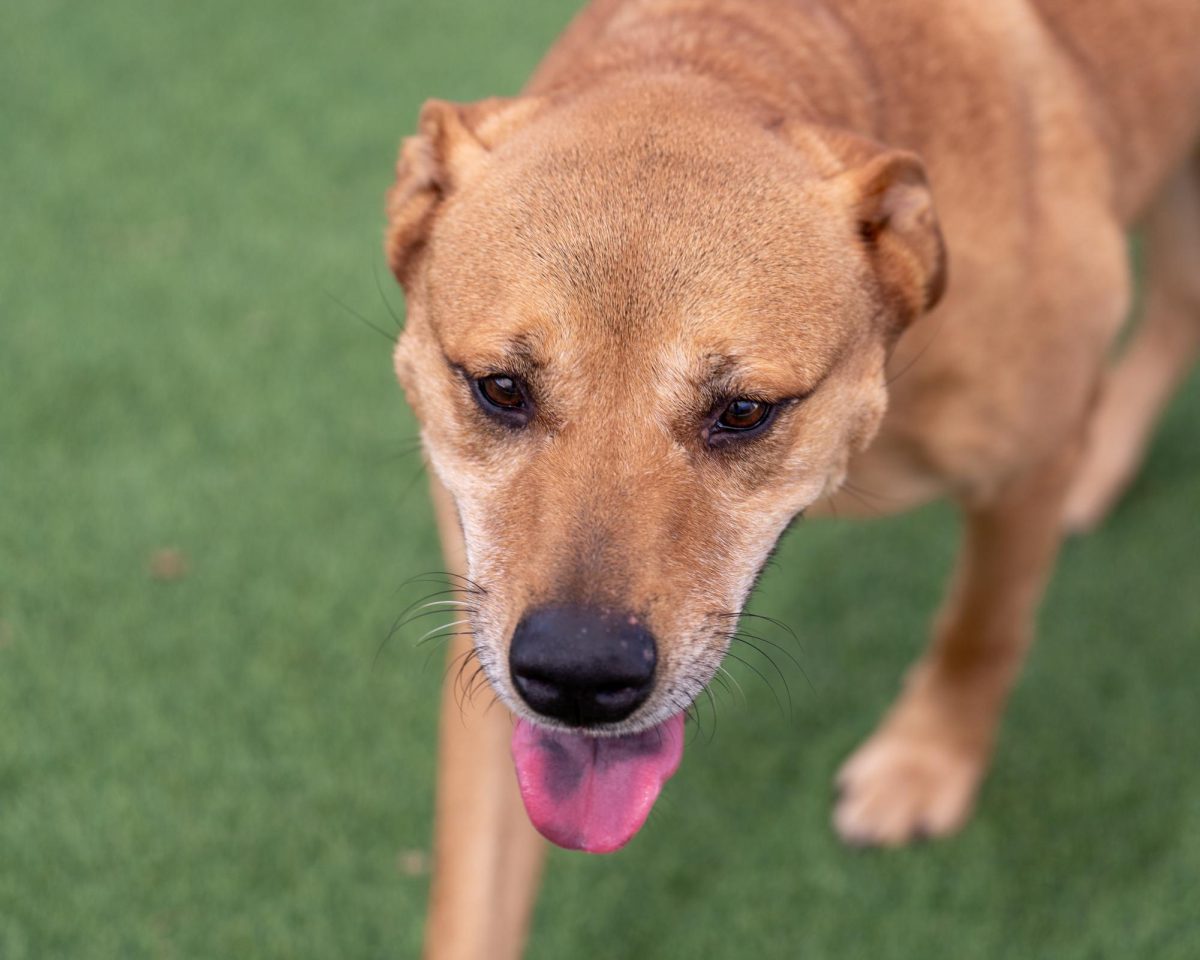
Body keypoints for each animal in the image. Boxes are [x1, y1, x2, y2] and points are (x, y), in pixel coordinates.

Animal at [381, 3, 1200, 955]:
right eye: (500, 389)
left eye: (744, 411)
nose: (579, 676)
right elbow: (472, 908)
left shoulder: (1024, 469)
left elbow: (981, 627)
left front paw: (927, 759)